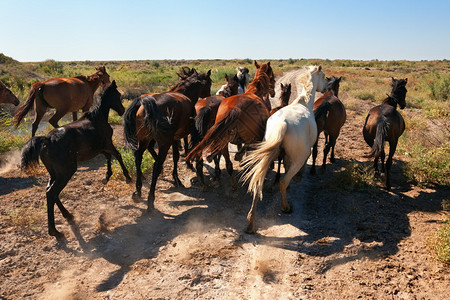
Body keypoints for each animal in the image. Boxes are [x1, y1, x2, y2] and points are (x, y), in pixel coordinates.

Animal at [20, 81, 131, 239]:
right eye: (118, 95)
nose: (122, 111)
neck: (97, 118)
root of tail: (47, 140)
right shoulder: (108, 144)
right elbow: (118, 156)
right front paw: (128, 178)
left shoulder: (101, 148)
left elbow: (109, 158)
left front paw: (106, 177)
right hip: (66, 172)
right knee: (52, 193)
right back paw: (55, 231)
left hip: (54, 173)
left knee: (49, 191)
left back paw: (68, 215)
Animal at [123, 68, 213, 209]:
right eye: (209, 83)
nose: (208, 95)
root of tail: (146, 102)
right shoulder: (176, 138)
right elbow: (179, 153)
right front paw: (179, 176)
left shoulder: (174, 138)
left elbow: (176, 155)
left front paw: (176, 177)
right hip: (163, 143)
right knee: (156, 165)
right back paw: (150, 199)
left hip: (144, 140)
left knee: (138, 158)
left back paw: (138, 191)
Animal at [243, 65, 326, 233]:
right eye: (324, 76)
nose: (326, 88)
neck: (304, 103)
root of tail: (282, 124)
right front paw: (298, 177)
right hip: (298, 157)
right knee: (283, 181)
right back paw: (286, 207)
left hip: (265, 157)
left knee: (258, 182)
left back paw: (251, 223)